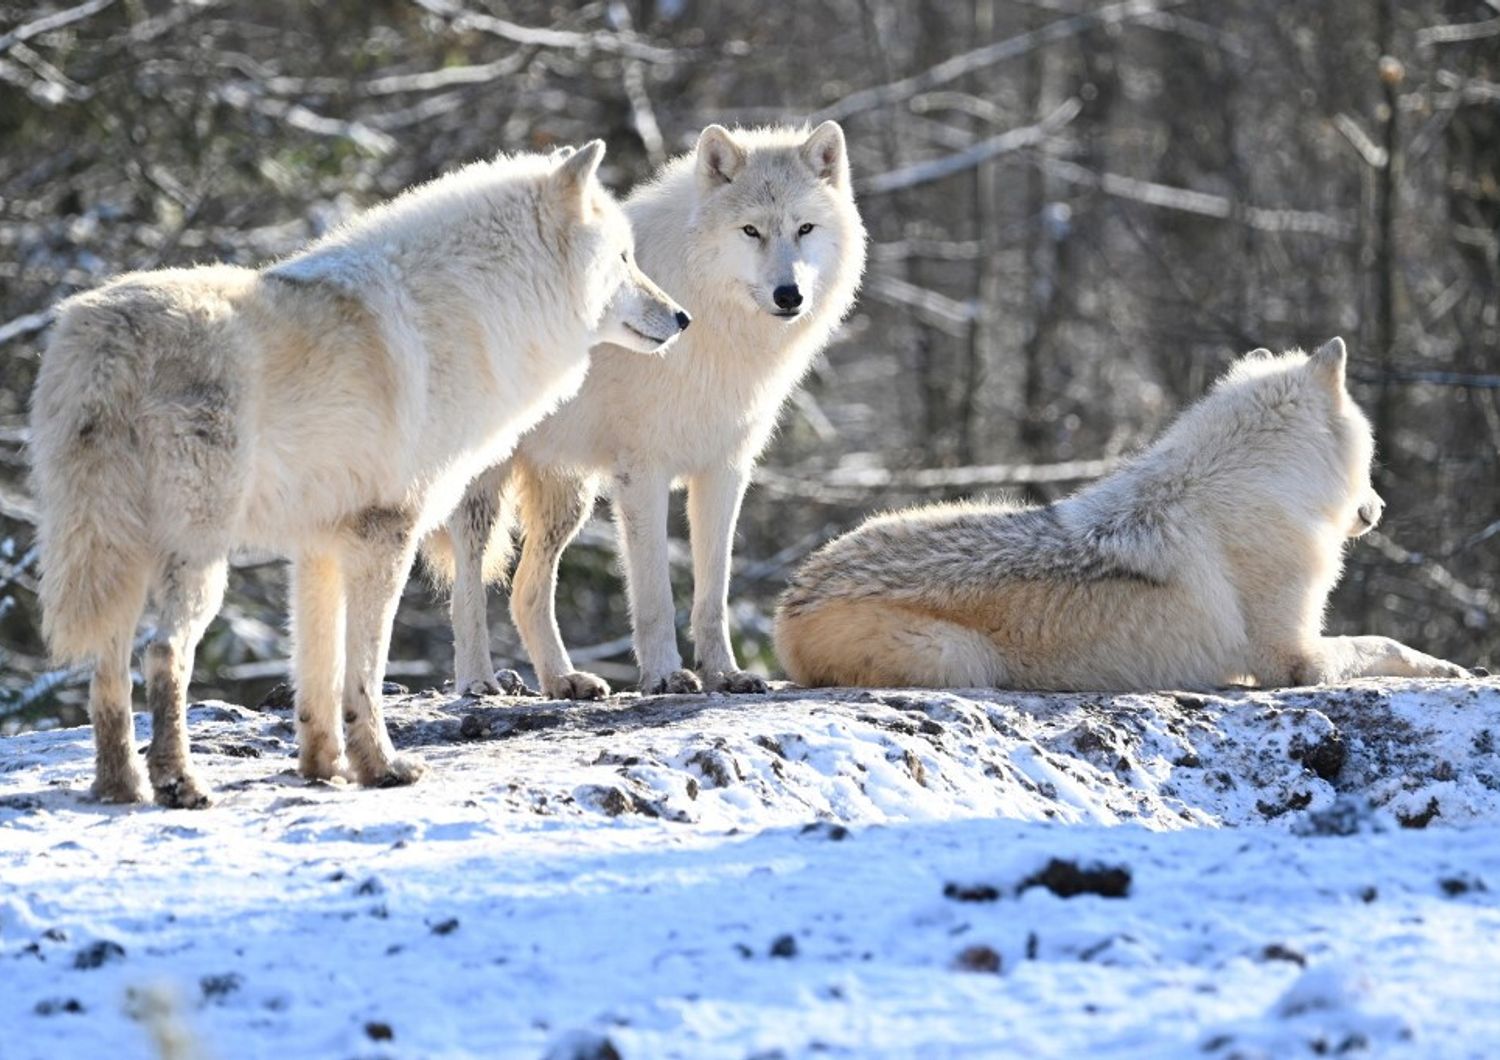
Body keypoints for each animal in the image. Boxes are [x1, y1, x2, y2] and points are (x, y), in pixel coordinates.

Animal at [32, 138, 690, 803]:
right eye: (625, 258)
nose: (682, 317)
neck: (469, 309)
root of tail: (106, 342)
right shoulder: (386, 533)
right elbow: (365, 671)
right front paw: (381, 767)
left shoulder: (318, 549)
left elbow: (317, 672)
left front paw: (322, 767)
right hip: (195, 557)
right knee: (164, 654)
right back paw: (179, 782)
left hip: (113, 555)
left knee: (108, 668)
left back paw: (119, 786)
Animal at [423, 119, 870, 701]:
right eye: (750, 231)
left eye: (805, 229)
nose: (788, 295)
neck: (716, 329)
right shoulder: (643, 473)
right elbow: (655, 594)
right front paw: (664, 675)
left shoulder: (725, 471)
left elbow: (713, 593)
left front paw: (724, 674)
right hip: (486, 492)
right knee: (468, 587)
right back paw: (477, 681)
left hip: (570, 500)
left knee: (525, 592)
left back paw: (564, 680)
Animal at [780, 335, 1470, 692]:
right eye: (1372, 450)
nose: (1379, 508)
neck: (1263, 488)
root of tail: (789, 603)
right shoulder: (1293, 661)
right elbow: (1379, 641)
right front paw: (1450, 666)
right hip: (962, 662)